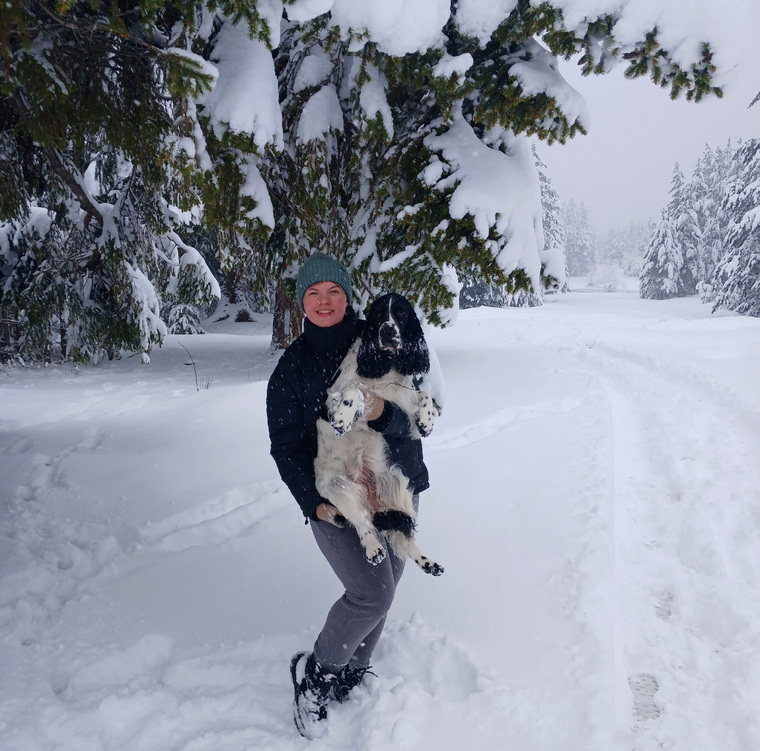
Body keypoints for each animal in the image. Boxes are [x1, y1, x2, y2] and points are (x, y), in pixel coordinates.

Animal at [314, 294, 446, 576]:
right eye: (377, 314)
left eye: (401, 313)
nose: (387, 331)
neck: (387, 366)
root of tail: (370, 499)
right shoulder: (333, 396)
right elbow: (354, 390)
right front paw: (342, 419)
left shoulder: (403, 398)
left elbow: (424, 395)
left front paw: (426, 421)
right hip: (336, 485)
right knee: (363, 523)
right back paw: (373, 548)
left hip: (398, 482)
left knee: (405, 537)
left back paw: (429, 563)